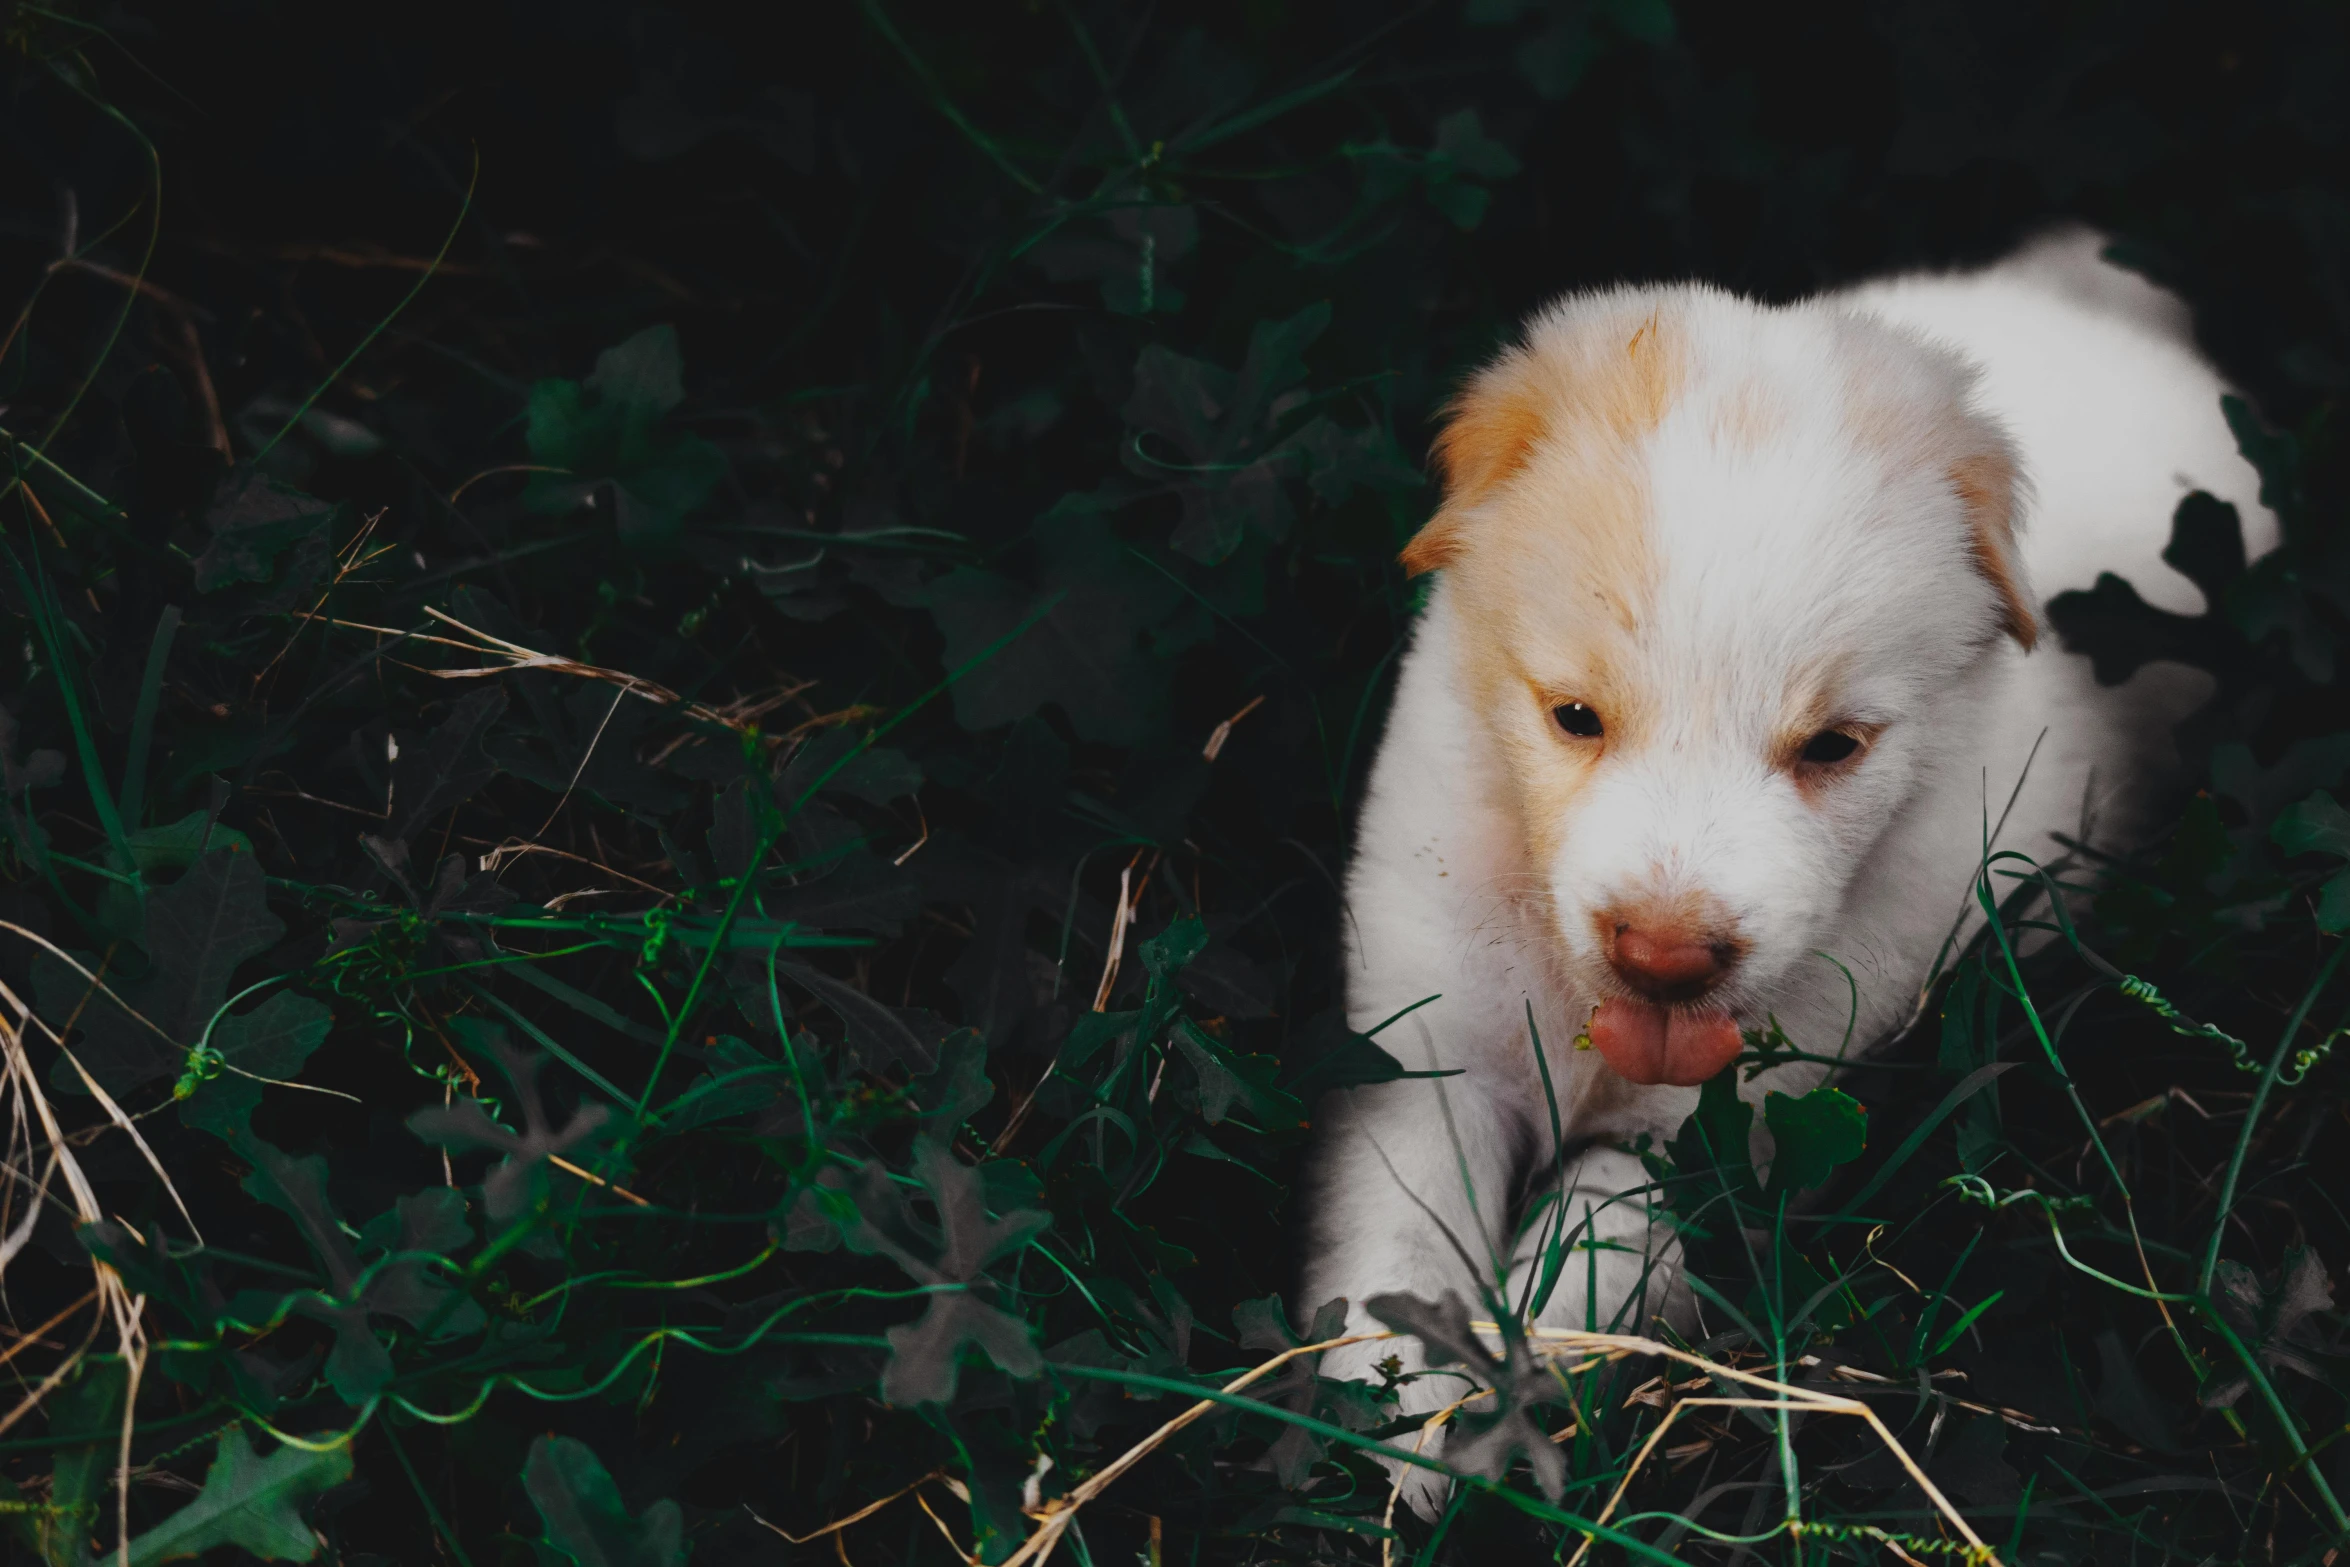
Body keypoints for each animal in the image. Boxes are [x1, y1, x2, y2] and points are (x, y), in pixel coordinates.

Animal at [1306, 232, 2274, 1494]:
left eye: (1831, 747)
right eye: (1574, 716)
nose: (1664, 958)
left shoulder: (1723, 1136)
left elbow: (1591, 1253)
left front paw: (1501, 1418)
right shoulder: (1425, 1052)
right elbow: (1400, 1244)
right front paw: (1396, 1423)